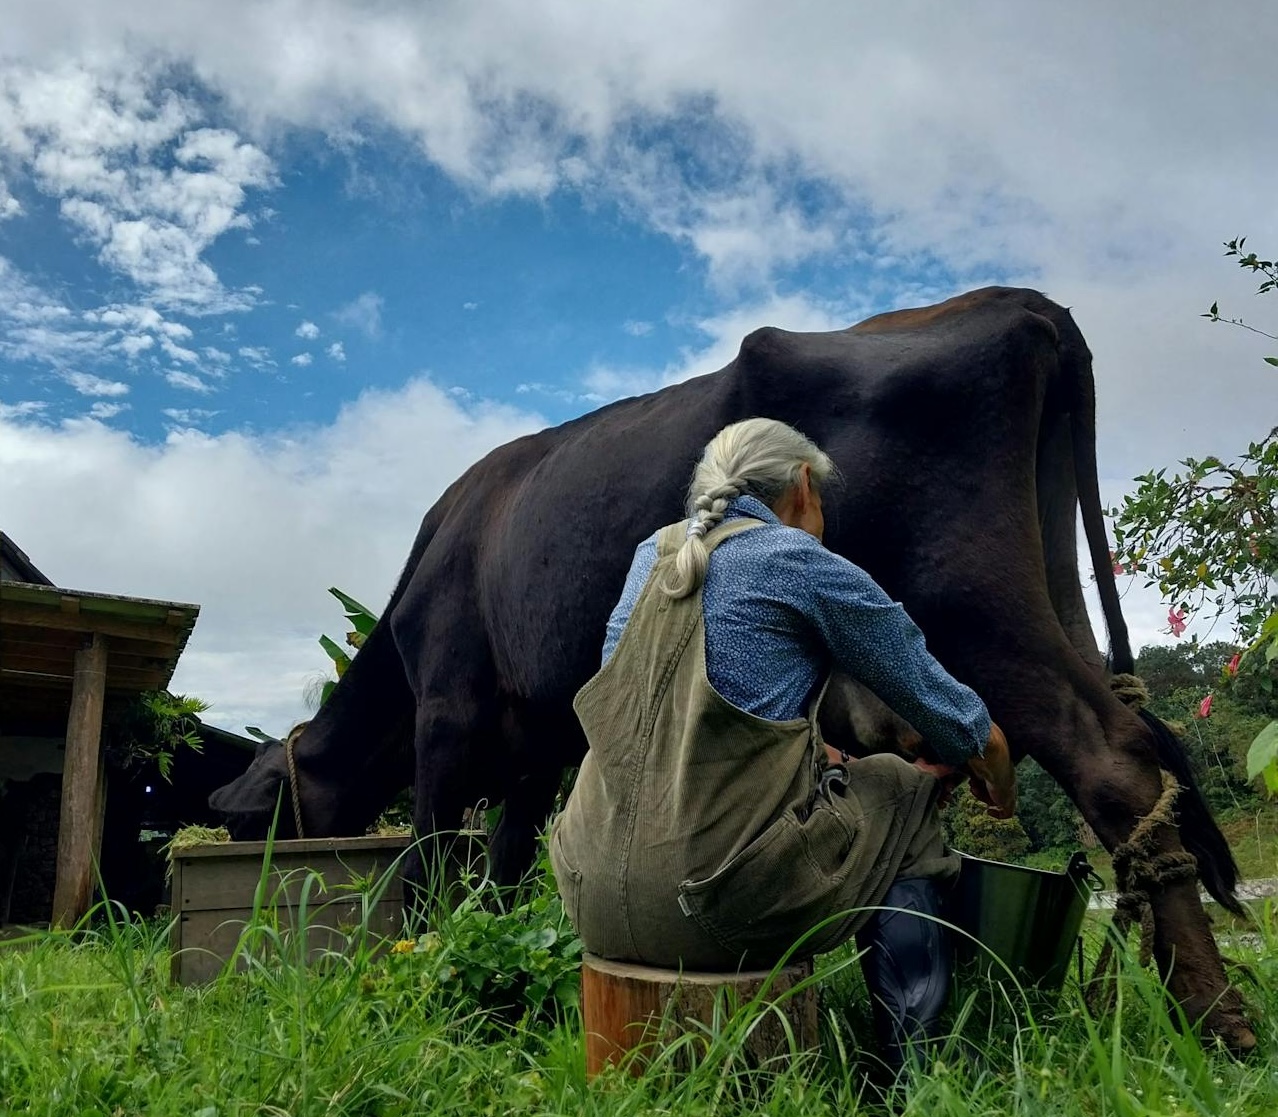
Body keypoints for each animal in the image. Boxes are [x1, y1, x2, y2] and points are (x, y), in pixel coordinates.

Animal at [209, 286, 1254, 1051]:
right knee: (1137, 738)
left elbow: (430, 857)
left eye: (259, 818)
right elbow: (504, 866)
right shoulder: (539, 746)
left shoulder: (448, 710)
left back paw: (1217, 1025)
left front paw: (429, 974)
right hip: (1049, 587)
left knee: (1114, 760)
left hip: (971, 603)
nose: (253, 906)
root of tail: (1026, 305)